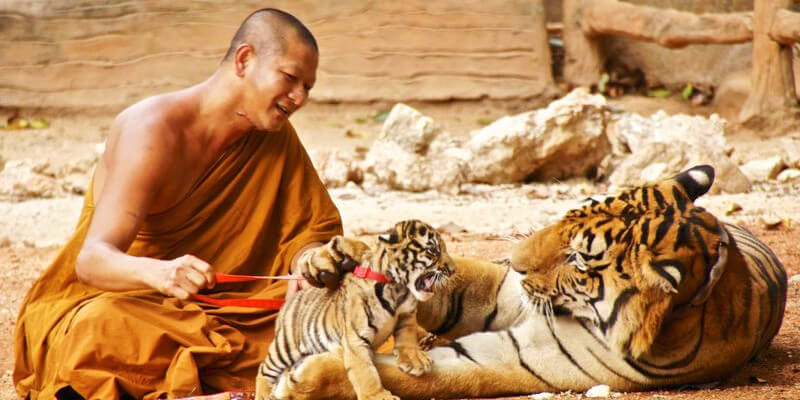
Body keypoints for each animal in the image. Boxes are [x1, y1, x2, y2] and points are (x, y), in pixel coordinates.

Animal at [272, 164, 784, 398]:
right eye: (569, 212)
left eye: (579, 258)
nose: (515, 264)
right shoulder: (500, 295)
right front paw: (338, 258)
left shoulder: (519, 358)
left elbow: (394, 371)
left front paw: (302, 378)